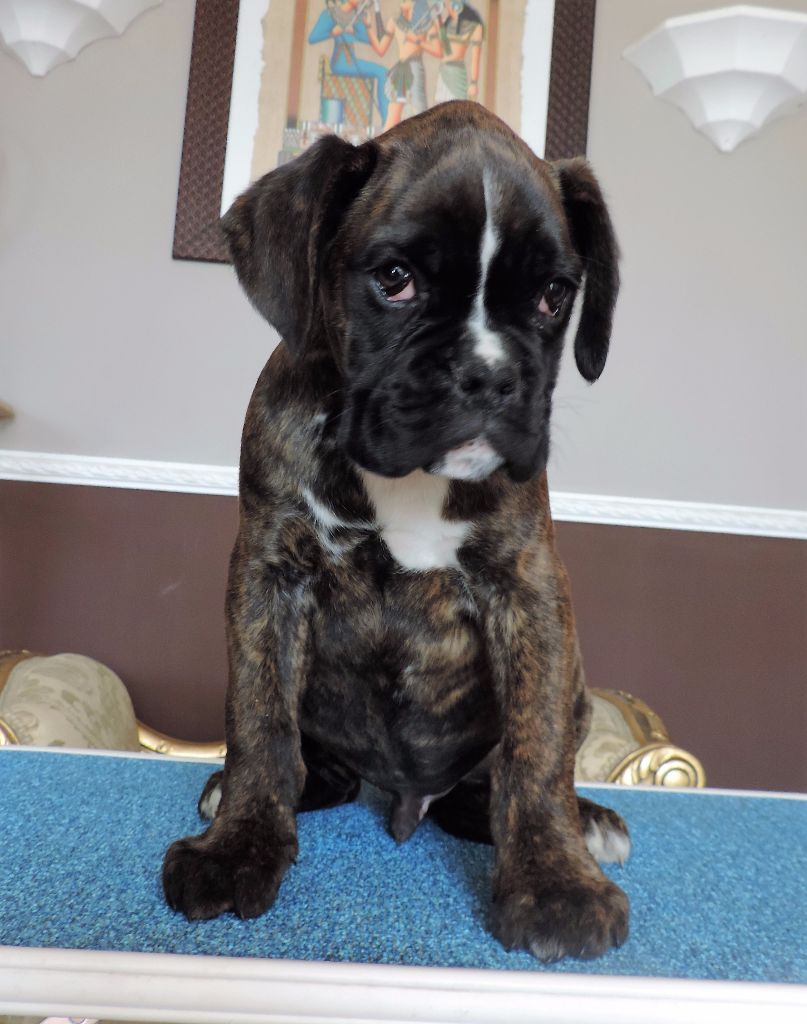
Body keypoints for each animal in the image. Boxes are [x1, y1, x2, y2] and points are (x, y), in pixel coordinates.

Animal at [162, 101, 630, 963]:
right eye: (394, 279)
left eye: (554, 296)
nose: (490, 374)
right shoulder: (268, 574)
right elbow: (259, 719)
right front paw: (239, 845)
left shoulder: (527, 589)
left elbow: (537, 745)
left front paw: (554, 881)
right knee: (309, 754)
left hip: (570, 687)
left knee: (499, 779)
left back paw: (581, 822)